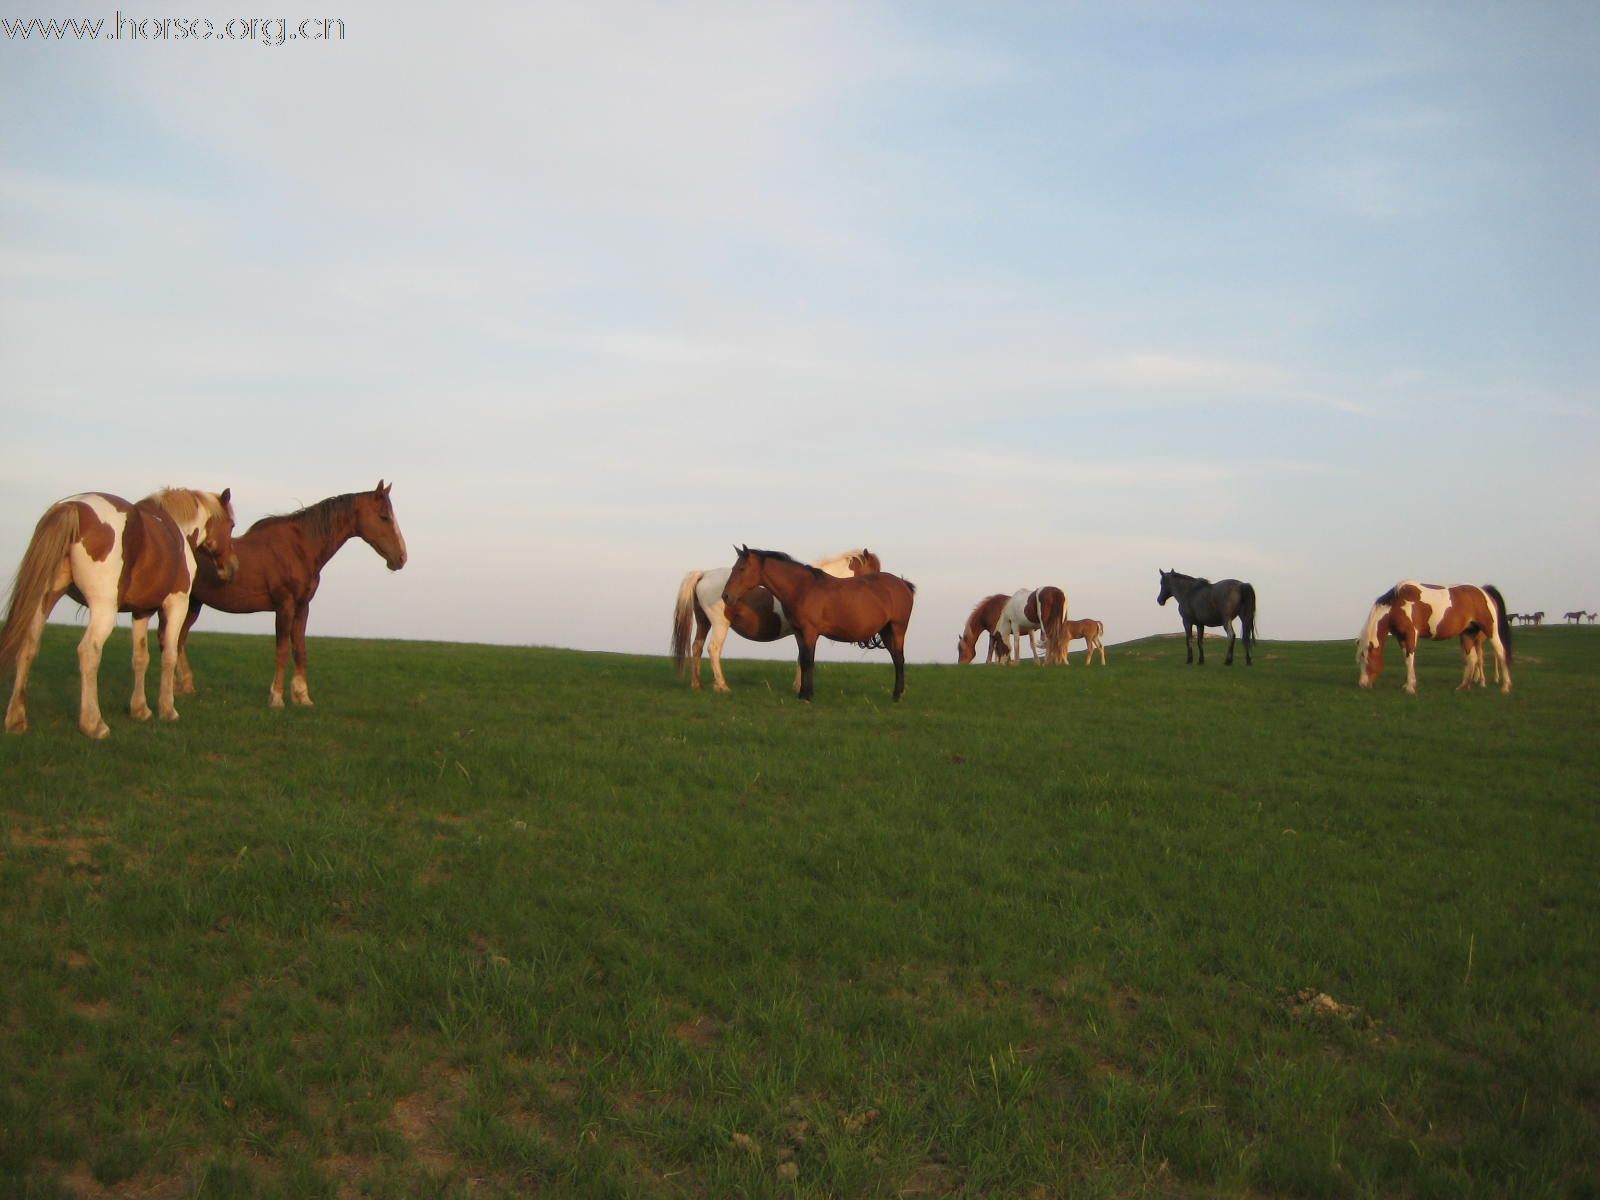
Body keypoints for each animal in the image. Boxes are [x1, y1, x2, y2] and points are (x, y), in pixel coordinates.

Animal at [0, 486, 236, 732]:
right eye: (231, 525)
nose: (231, 567)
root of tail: (75, 506)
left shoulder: (142, 611)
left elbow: (140, 658)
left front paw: (140, 710)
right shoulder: (176, 605)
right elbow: (169, 656)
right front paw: (167, 709)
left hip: (44, 599)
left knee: (28, 646)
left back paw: (16, 719)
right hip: (103, 608)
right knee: (89, 651)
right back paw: (94, 723)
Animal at [165, 483, 406, 710]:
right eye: (384, 516)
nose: (402, 557)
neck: (299, 549)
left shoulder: (302, 607)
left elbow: (300, 650)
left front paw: (302, 696)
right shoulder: (285, 606)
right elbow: (282, 651)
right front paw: (277, 698)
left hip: (194, 605)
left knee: (179, 640)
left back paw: (184, 687)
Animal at [668, 547, 883, 691]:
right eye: (874, 570)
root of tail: (704, 574)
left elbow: (802, 657)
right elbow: (804, 657)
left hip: (703, 622)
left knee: (696, 646)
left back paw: (696, 684)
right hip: (720, 624)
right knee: (713, 649)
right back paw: (722, 686)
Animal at [723, 547, 915, 704]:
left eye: (741, 568)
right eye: (733, 568)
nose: (726, 596)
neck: (802, 588)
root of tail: (903, 584)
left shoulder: (809, 632)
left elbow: (808, 661)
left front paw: (807, 695)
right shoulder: (799, 633)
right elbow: (803, 660)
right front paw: (802, 693)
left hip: (897, 629)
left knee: (899, 659)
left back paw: (897, 695)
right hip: (886, 631)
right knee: (896, 659)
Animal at [1350, 582, 1510, 694]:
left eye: (1368, 660)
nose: (1362, 685)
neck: (1398, 604)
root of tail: (1484, 592)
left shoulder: (1411, 635)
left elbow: (1410, 659)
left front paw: (1410, 688)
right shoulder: (1401, 638)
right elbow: (1407, 660)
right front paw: (1408, 684)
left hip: (1490, 631)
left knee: (1500, 652)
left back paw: (1505, 687)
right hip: (1468, 633)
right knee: (1472, 659)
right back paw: (1463, 687)